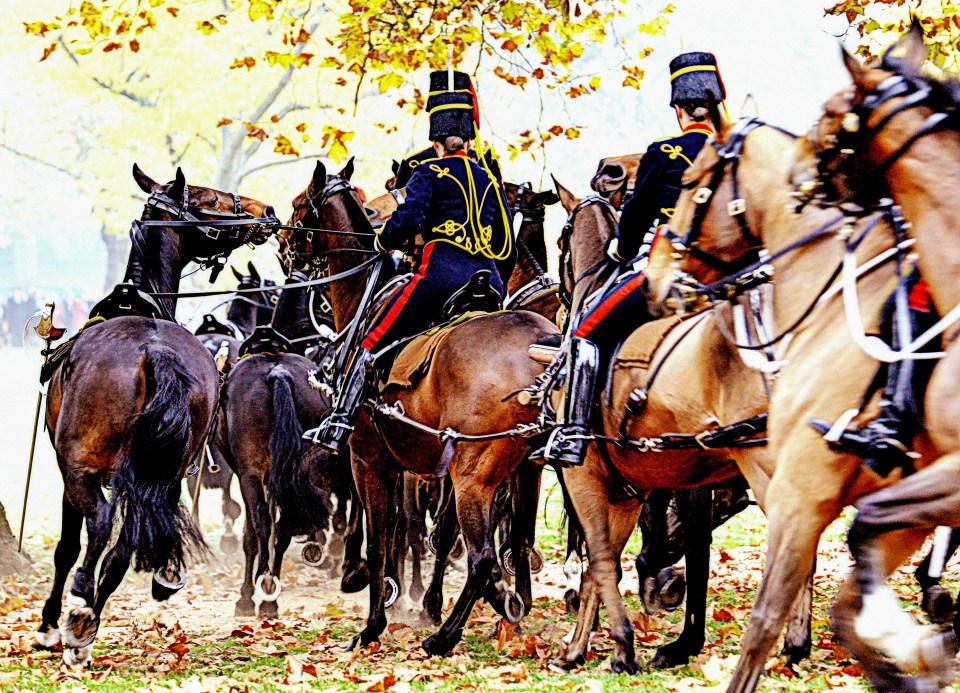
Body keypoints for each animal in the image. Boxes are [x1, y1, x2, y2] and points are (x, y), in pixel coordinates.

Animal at [36, 166, 276, 664]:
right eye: (209, 198)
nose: (265, 211)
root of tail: (155, 351)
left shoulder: (69, 470)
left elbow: (67, 546)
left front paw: (49, 623)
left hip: (80, 466)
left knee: (101, 526)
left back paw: (77, 610)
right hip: (160, 471)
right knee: (123, 547)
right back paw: (89, 621)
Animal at [282, 161, 560, 656]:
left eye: (300, 205)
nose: (283, 246)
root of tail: (540, 344)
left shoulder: (369, 459)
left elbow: (381, 541)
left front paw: (372, 625)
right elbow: (411, 532)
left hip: (473, 477)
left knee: (483, 556)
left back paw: (444, 635)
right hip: (525, 469)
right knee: (517, 541)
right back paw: (503, 607)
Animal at [544, 180, 808, 672]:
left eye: (560, 240)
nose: (562, 308)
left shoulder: (583, 474)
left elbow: (602, 559)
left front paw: (622, 645)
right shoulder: (634, 487)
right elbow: (613, 563)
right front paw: (584, 645)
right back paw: (795, 644)